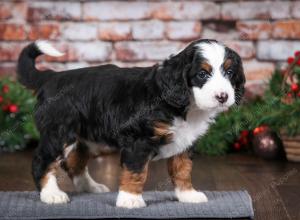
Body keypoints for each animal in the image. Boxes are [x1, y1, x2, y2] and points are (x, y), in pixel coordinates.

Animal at [17, 39, 245, 208]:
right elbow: (136, 171)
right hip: (60, 132)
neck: (185, 104)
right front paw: (130, 199)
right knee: (42, 160)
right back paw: (51, 194)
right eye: (202, 74)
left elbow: (183, 170)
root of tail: (51, 77)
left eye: (230, 73)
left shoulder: (185, 142)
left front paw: (188, 195)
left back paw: (90, 187)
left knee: (75, 162)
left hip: (86, 137)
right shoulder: (138, 139)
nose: (223, 97)